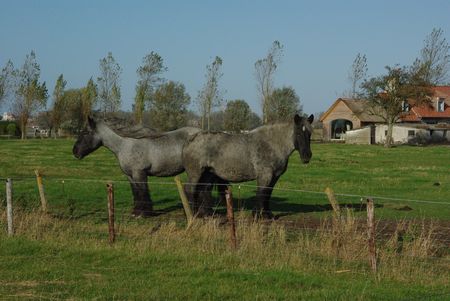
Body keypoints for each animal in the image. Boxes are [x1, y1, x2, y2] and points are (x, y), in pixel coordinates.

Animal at [182, 113, 312, 217]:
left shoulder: (275, 177)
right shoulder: (265, 176)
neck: (271, 143)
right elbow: (261, 194)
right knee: (190, 189)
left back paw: (207, 214)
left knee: (203, 191)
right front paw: (258, 215)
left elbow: (268, 194)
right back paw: (193, 214)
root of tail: (191, 140)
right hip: (195, 173)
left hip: (207, 173)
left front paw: (268, 214)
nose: (307, 156)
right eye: (298, 133)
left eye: (310, 134)